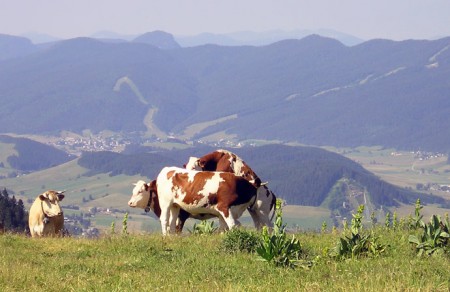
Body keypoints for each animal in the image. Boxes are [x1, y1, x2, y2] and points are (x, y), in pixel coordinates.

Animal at [128, 167, 258, 235]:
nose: (130, 203)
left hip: (171, 204)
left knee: (168, 221)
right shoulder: (225, 209)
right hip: (169, 203)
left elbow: (229, 226)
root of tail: (167, 169)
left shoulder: (226, 210)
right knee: (167, 221)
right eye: (133, 191)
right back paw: (167, 237)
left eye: (140, 191)